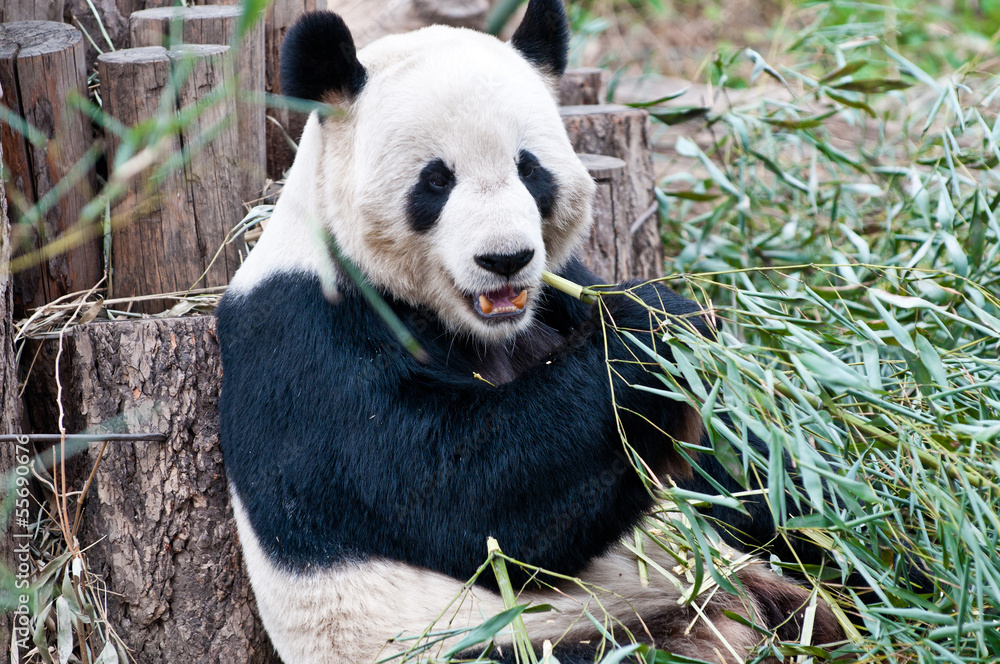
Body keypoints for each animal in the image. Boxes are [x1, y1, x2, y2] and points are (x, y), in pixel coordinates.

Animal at [215, 2, 845, 662]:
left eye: (529, 168)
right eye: (436, 181)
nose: (506, 259)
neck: (472, 326)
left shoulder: (559, 293)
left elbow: (728, 470)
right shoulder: (305, 342)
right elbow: (474, 502)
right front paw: (656, 322)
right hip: (530, 639)